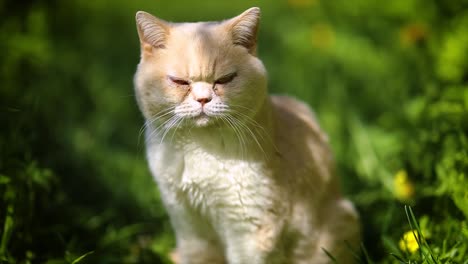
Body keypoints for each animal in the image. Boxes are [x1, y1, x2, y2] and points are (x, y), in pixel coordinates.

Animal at [133, 7, 360, 262]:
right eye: (180, 82)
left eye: (224, 79)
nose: (203, 100)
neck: (200, 148)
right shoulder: (190, 226)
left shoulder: (249, 231)